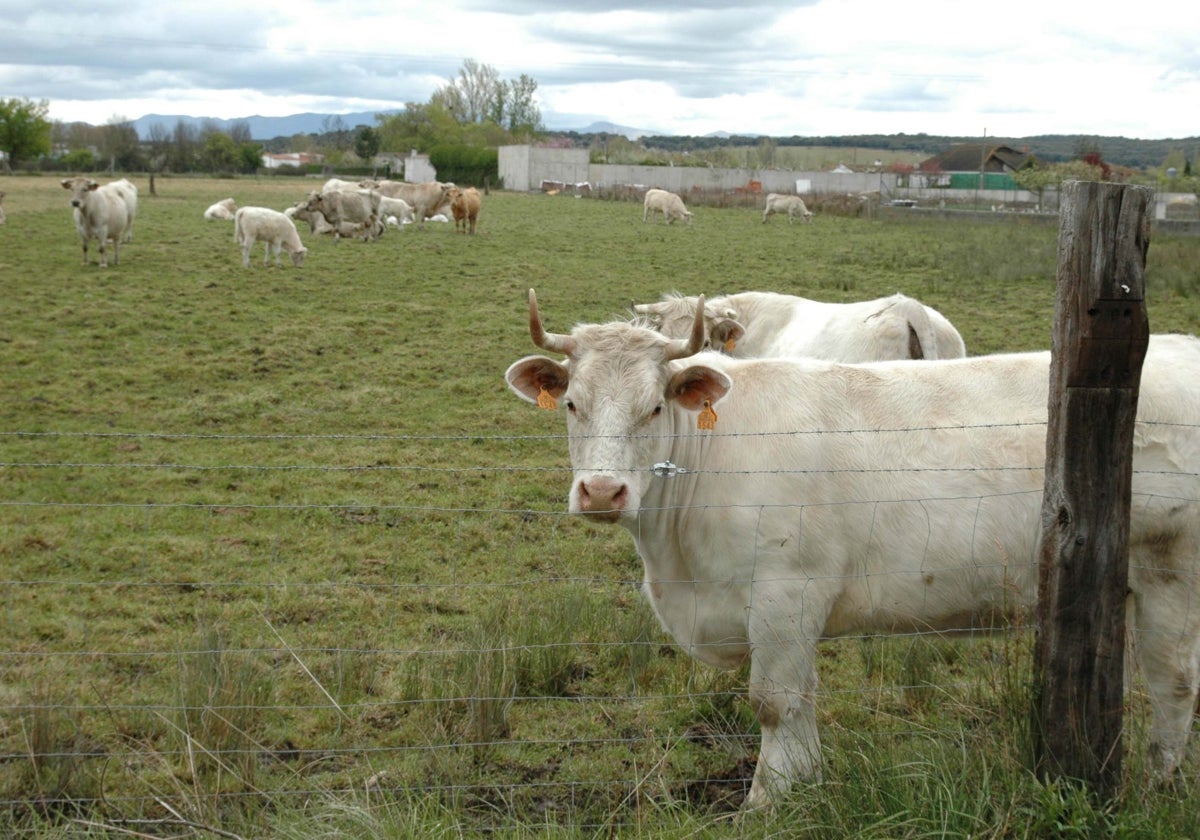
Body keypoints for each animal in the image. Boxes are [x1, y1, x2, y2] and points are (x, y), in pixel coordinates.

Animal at [504, 289, 1200, 806]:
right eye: (572, 403)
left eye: (653, 408)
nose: (601, 491)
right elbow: (804, 698)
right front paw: (806, 782)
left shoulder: (784, 591)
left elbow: (774, 701)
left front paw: (765, 800)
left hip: (1169, 572)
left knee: (1172, 683)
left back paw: (1154, 785)